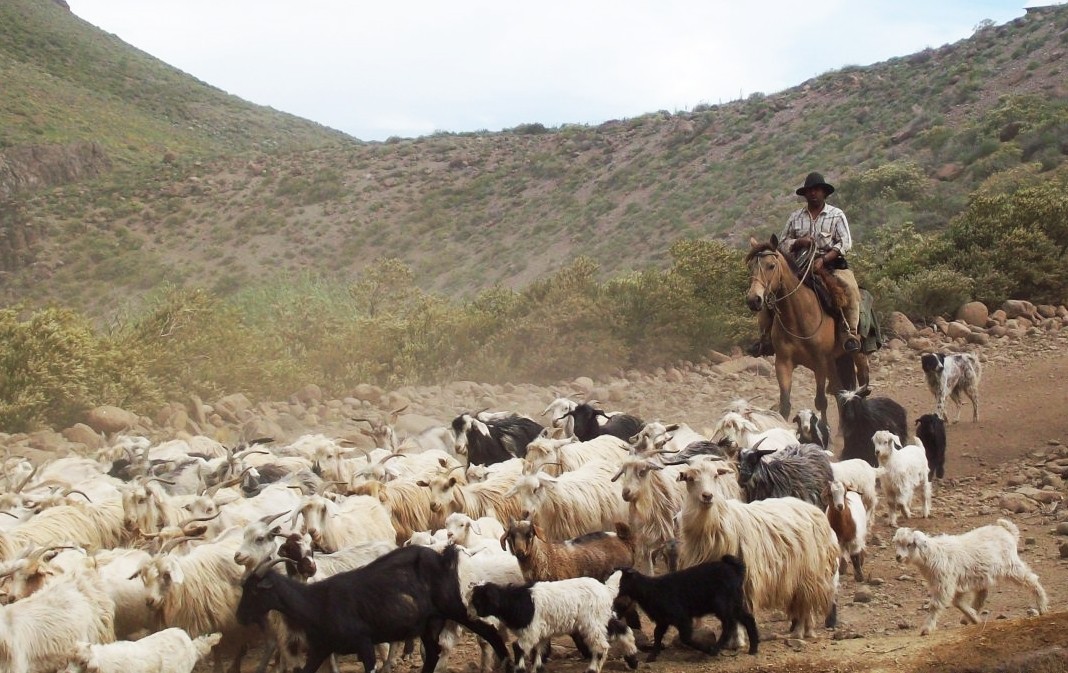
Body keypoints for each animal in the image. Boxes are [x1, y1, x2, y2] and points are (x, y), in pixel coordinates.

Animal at [237, 546, 508, 673]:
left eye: (255, 591)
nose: (240, 616)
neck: (317, 602)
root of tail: (444, 556)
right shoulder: (321, 648)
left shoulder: (364, 642)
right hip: (430, 622)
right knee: (433, 652)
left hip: (455, 607)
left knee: (490, 632)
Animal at [615, 555, 756, 662]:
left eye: (619, 578)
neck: (650, 590)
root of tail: (734, 569)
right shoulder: (663, 619)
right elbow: (657, 634)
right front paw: (652, 655)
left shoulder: (681, 617)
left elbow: (685, 638)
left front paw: (706, 649)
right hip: (735, 603)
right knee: (748, 619)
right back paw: (753, 649)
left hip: (722, 603)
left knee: (729, 623)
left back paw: (715, 649)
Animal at [743, 238, 867, 423]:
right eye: (751, 266)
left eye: (771, 265)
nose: (753, 300)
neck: (798, 318)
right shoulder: (783, 363)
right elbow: (784, 405)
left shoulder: (820, 363)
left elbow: (821, 402)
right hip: (834, 362)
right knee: (839, 392)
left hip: (856, 354)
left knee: (862, 386)